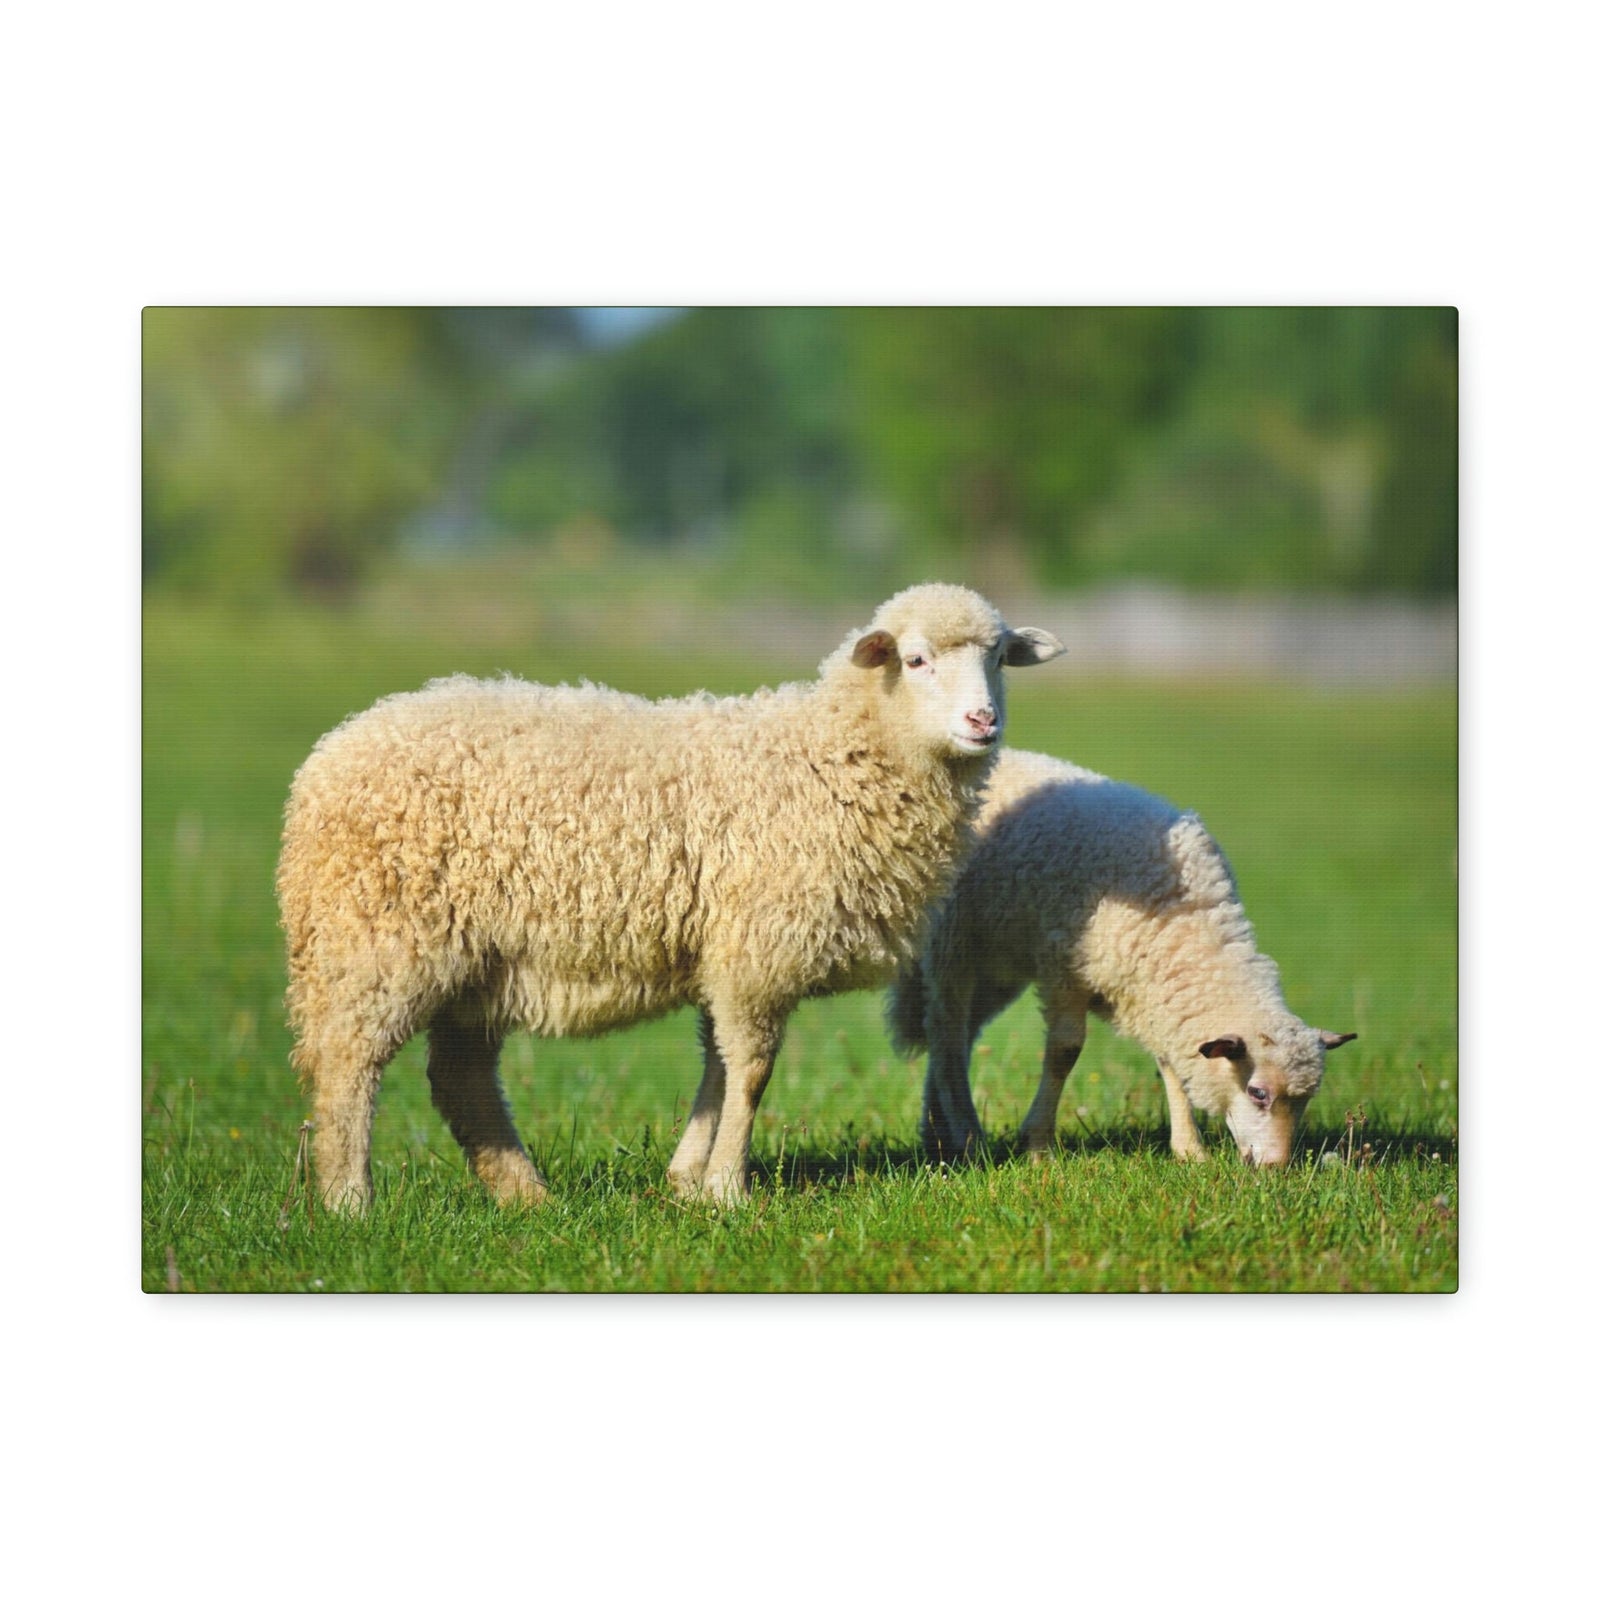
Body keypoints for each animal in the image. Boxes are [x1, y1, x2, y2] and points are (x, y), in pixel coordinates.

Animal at [276, 584, 1065, 1212]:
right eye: (917, 660)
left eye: (999, 658)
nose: (982, 722)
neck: (833, 757)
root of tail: (324, 760)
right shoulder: (756, 947)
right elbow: (752, 1070)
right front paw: (728, 1189)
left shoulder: (728, 948)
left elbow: (718, 1062)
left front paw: (688, 1178)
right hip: (377, 939)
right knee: (348, 1065)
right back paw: (350, 1201)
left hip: (478, 962)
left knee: (459, 1078)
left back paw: (525, 1197)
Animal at [888, 748, 1356, 1167]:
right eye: (1258, 1093)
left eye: (1306, 1099)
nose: (1275, 1167)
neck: (1185, 922)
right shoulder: (1065, 970)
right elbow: (1064, 1052)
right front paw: (1038, 1145)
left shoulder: (1153, 991)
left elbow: (1171, 1064)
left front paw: (1190, 1151)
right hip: (954, 943)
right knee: (947, 1033)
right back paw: (966, 1136)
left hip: (997, 965)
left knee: (956, 1035)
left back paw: (938, 1133)